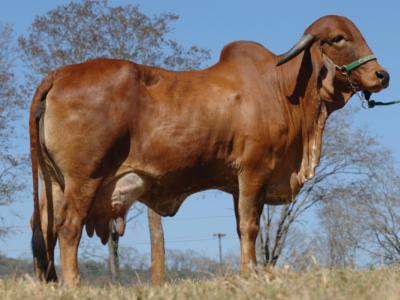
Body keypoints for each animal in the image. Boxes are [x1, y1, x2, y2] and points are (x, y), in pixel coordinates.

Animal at [30, 14, 388, 286]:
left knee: (44, 229)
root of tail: (60, 73)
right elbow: (250, 226)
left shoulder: (238, 183)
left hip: (55, 184)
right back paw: (74, 283)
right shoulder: (254, 171)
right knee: (68, 228)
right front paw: (250, 273)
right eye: (339, 38)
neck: (282, 89)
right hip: (84, 180)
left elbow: (241, 225)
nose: (381, 75)